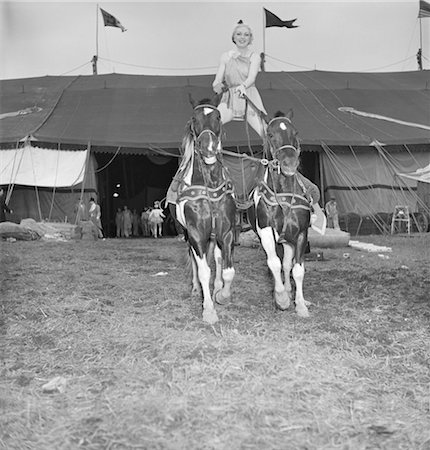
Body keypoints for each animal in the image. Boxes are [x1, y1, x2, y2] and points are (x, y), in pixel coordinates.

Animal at [173, 94, 237, 324]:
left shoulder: (226, 231)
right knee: (194, 260)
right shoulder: (195, 233)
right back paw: (195, 289)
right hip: (188, 235)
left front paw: (222, 295)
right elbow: (203, 271)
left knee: (216, 259)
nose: (208, 146)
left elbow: (227, 269)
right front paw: (208, 310)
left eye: (218, 116)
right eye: (194, 118)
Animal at [249, 110, 312, 318]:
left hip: (288, 240)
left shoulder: (300, 234)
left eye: (296, 132)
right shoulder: (266, 232)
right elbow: (274, 263)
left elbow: (297, 269)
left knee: (287, 265)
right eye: (270, 134)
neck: (283, 197)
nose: (289, 164)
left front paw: (300, 304)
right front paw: (281, 298)